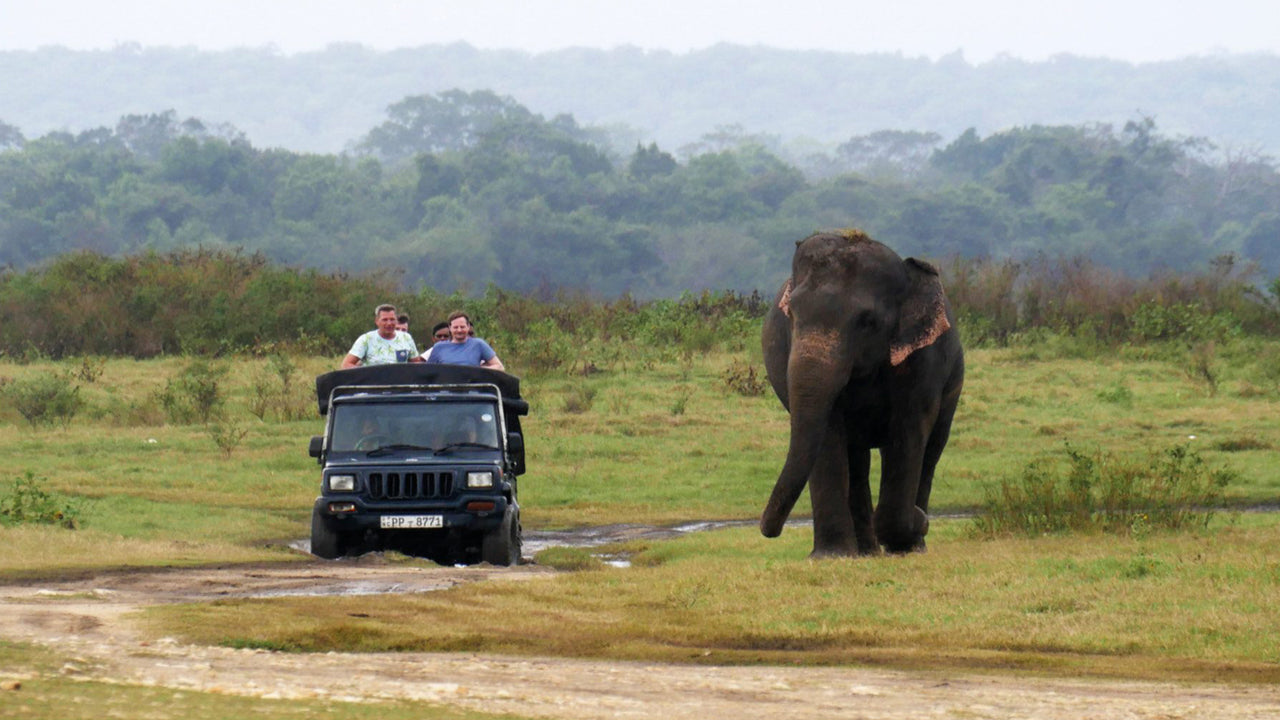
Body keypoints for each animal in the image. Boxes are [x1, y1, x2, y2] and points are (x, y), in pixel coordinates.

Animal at [757, 229, 962, 556]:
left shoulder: (923, 361)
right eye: (792, 314)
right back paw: (867, 551)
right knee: (856, 459)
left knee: (930, 452)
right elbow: (828, 434)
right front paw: (832, 557)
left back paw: (912, 544)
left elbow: (908, 433)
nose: (766, 530)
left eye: (868, 322)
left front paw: (909, 529)